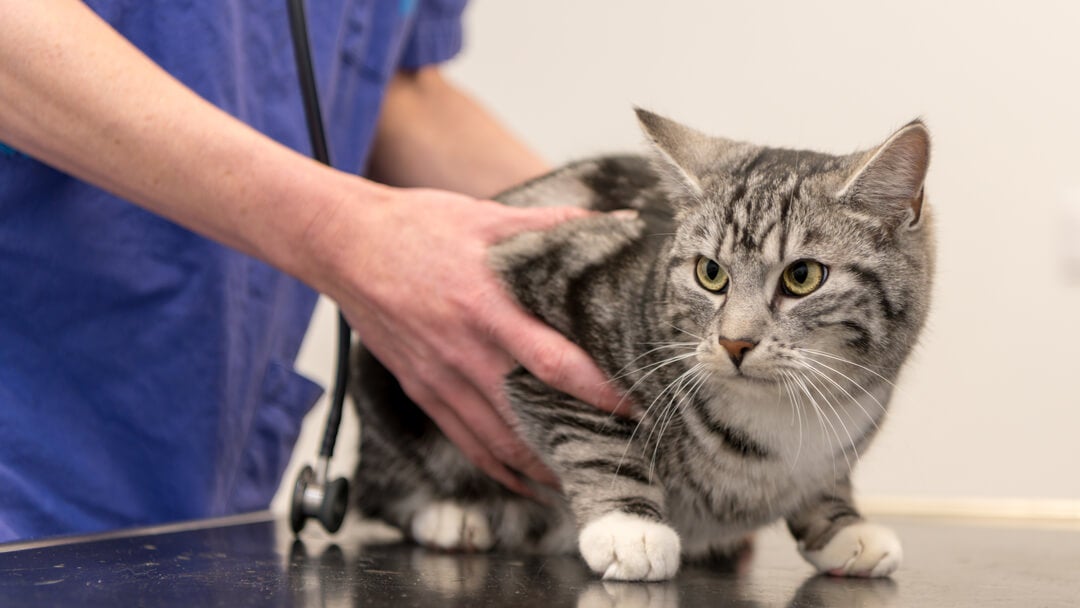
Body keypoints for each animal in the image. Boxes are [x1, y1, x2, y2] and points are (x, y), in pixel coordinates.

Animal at [349, 111, 933, 583]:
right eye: (710, 273)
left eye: (803, 276)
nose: (735, 341)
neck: (780, 415)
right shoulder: (551, 331)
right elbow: (597, 436)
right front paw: (628, 527)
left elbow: (829, 480)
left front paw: (843, 525)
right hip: (385, 387)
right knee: (377, 485)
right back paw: (451, 514)